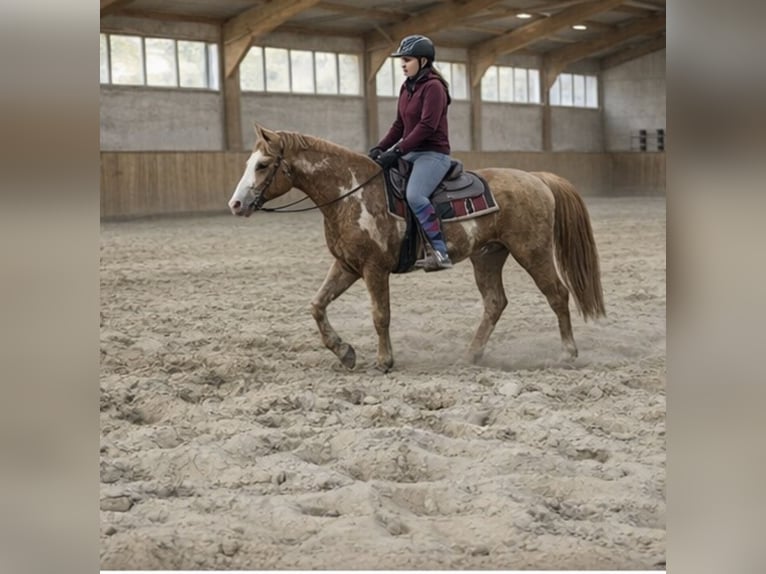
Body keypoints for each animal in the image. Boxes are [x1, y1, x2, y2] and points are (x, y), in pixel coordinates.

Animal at [228, 123, 605, 372]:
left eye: (262, 165)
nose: (235, 204)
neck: (351, 192)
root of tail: (537, 178)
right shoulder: (347, 266)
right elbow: (317, 306)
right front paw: (345, 352)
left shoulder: (374, 269)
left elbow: (380, 315)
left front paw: (384, 361)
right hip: (488, 256)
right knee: (495, 303)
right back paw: (470, 356)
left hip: (533, 251)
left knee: (557, 294)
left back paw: (567, 354)